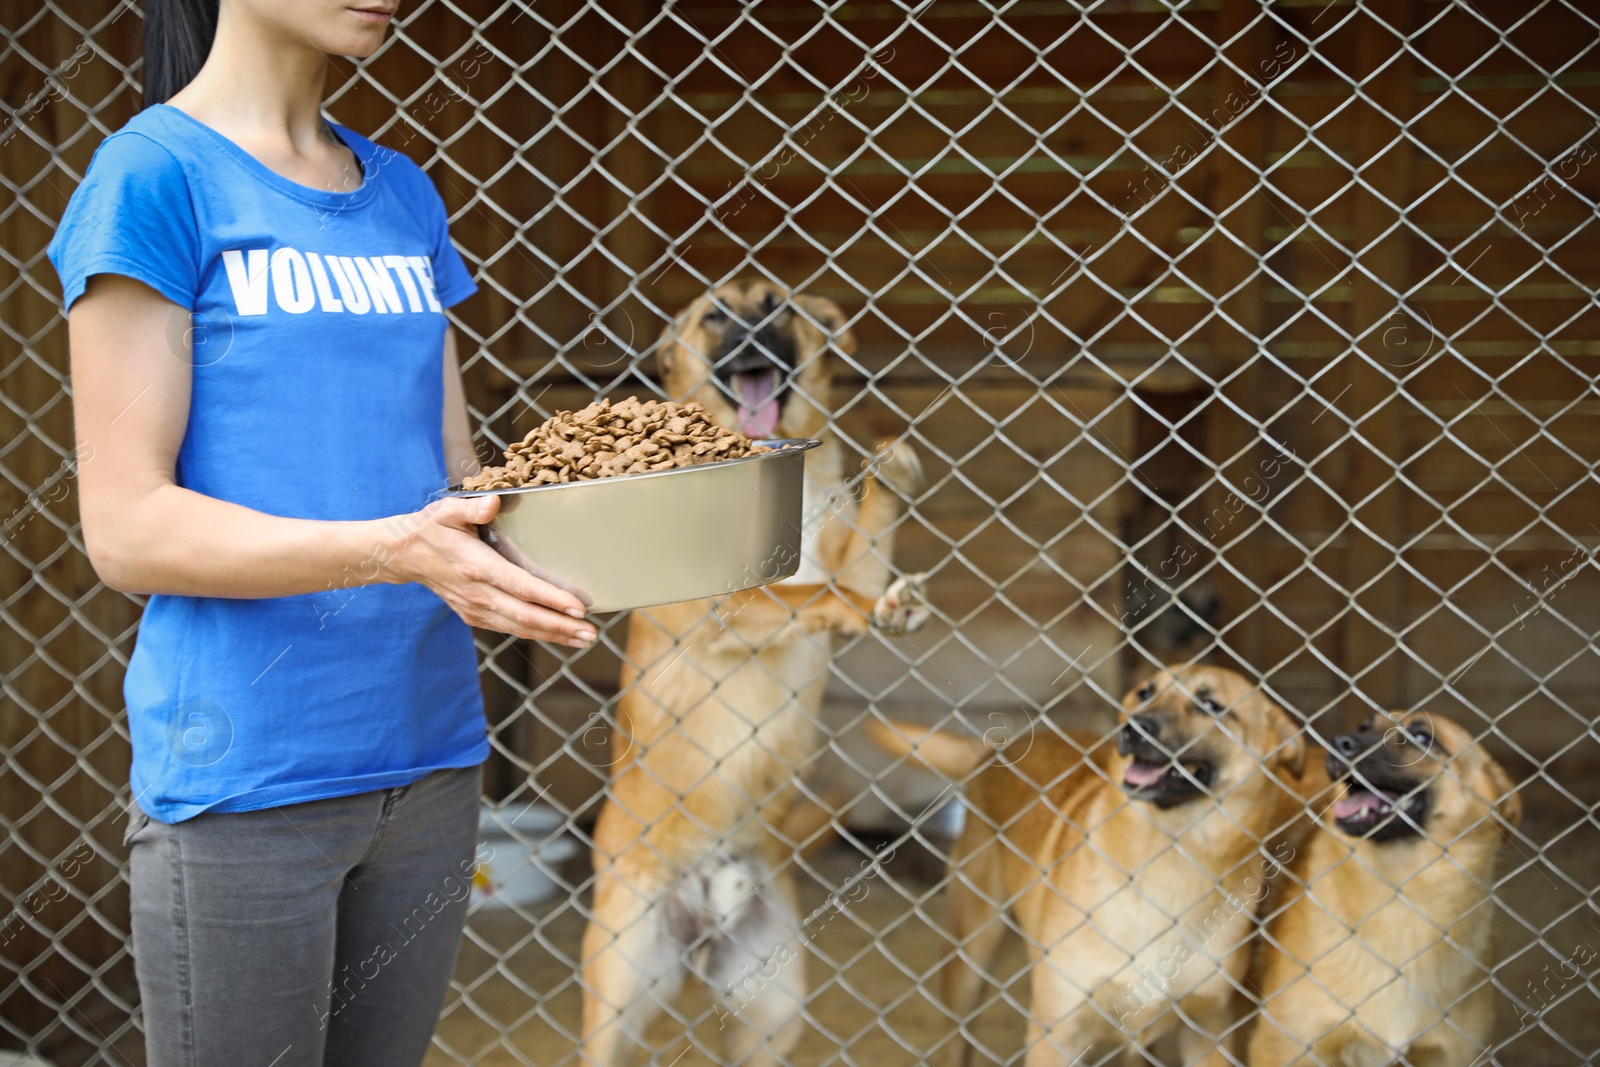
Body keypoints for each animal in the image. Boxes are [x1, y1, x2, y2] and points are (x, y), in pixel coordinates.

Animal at [579, 281, 934, 1067]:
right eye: (715, 315)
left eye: (776, 307)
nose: (750, 338)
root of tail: (709, 903)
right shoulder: (722, 609)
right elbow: (812, 593)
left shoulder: (858, 562)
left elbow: (861, 570)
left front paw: (890, 475)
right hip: (617, 1003)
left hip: (773, 1010)